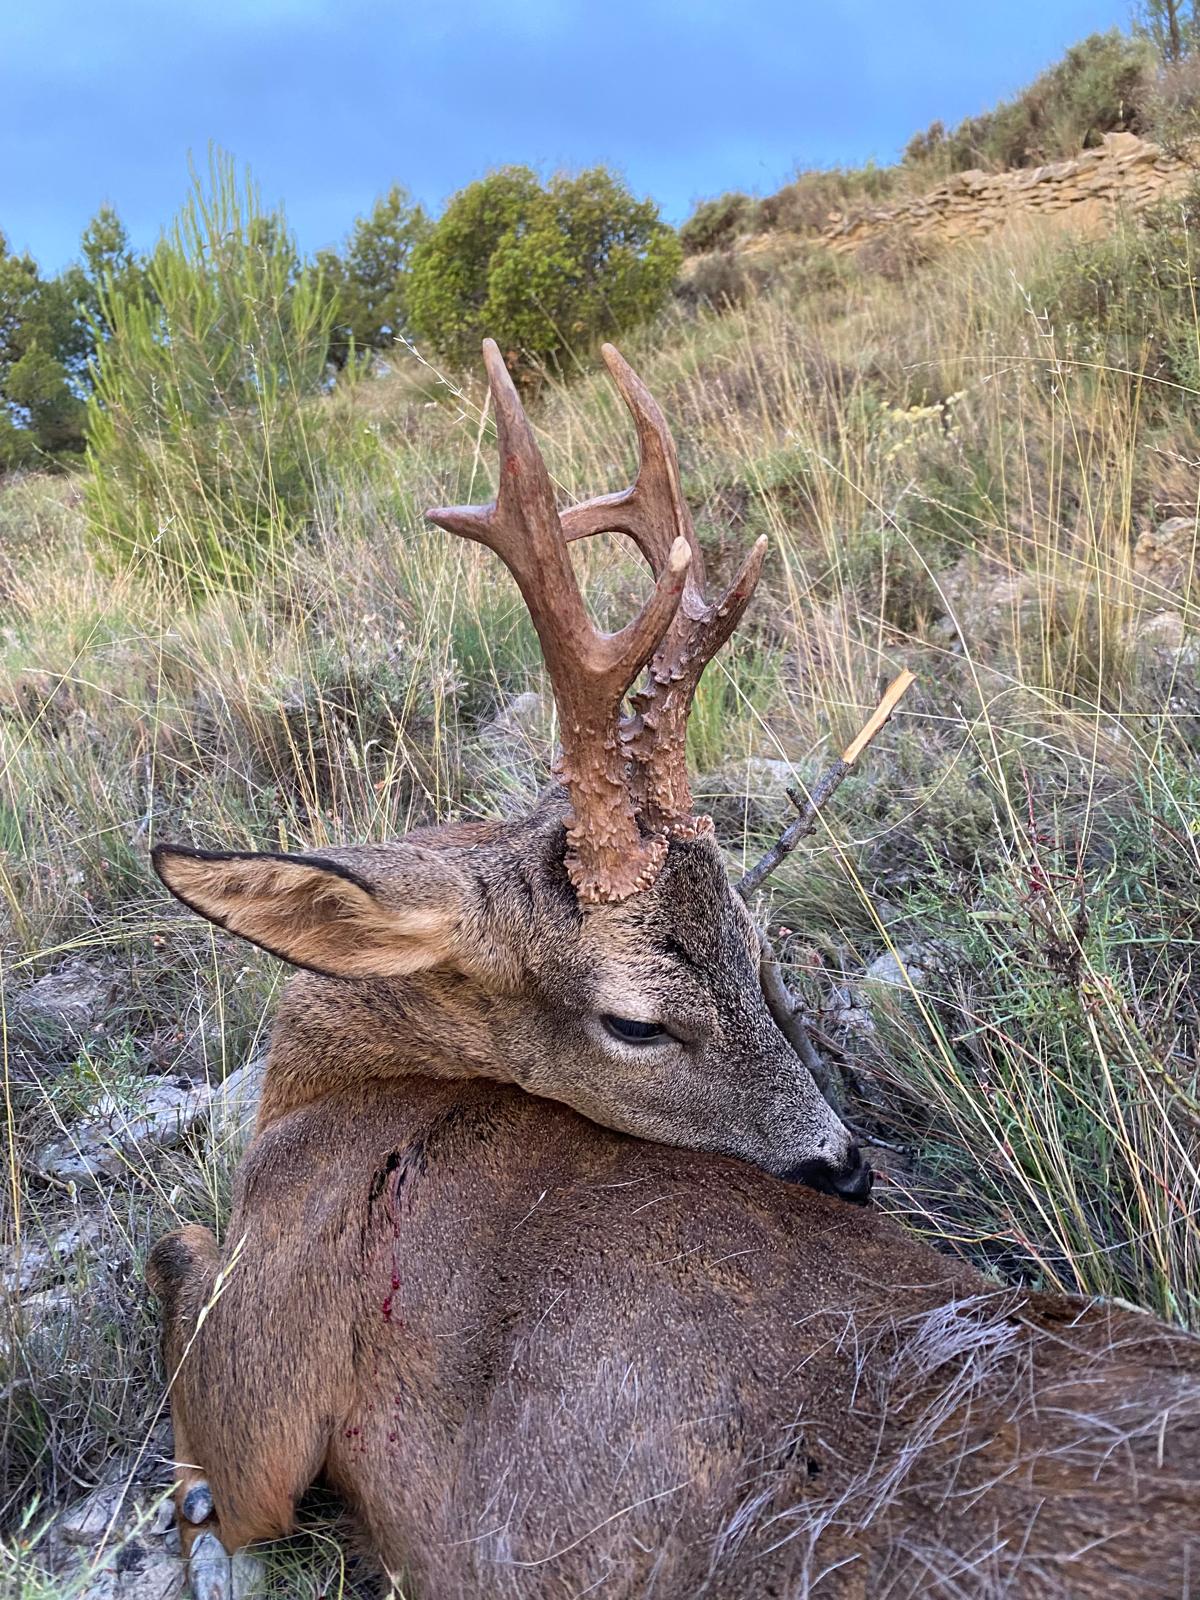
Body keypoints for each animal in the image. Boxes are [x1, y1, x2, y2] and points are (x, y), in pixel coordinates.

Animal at [148, 341, 1200, 1600]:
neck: (338, 1085)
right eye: (637, 1023)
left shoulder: (258, 1393)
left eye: (755, 947)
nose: (848, 1167)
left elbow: (176, 1264)